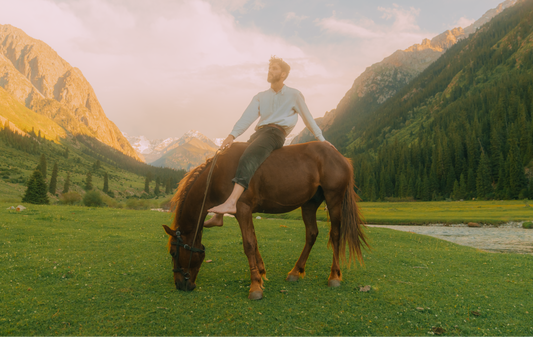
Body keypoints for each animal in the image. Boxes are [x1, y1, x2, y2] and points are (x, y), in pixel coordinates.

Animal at [161, 140, 366, 298]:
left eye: (173, 253)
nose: (179, 284)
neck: (219, 172)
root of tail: (340, 157)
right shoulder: (247, 212)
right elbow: (254, 241)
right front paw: (260, 273)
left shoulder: (242, 209)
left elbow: (249, 244)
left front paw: (255, 286)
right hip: (309, 204)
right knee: (312, 234)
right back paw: (296, 271)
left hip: (334, 200)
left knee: (335, 234)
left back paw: (334, 276)